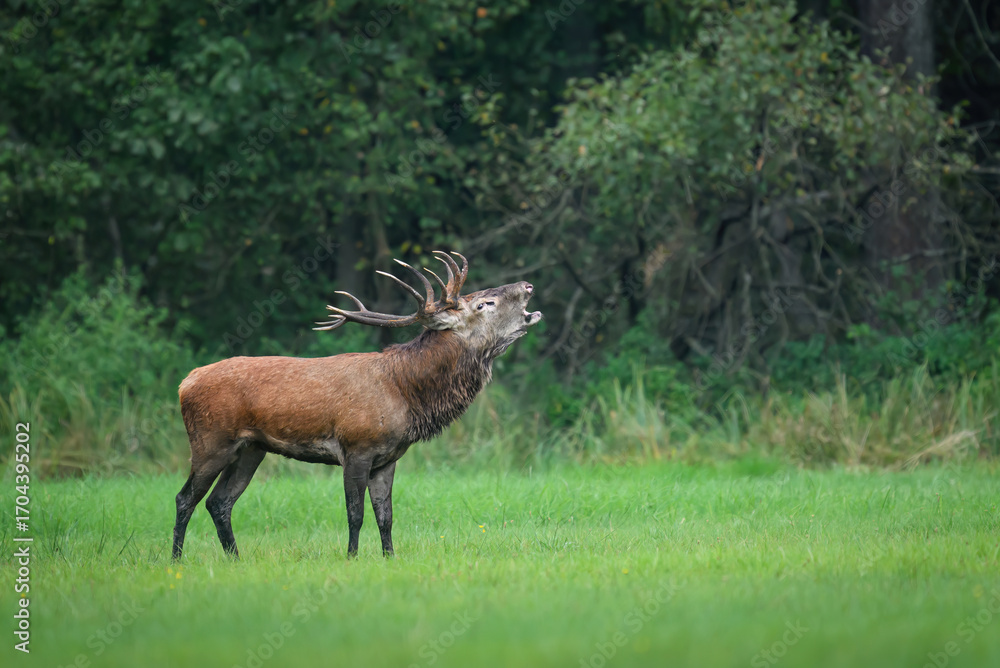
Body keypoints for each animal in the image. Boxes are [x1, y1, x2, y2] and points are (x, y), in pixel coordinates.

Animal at [171, 251, 542, 560]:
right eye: (484, 303)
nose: (528, 286)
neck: (406, 394)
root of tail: (184, 383)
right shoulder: (356, 447)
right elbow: (355, 514)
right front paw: (351, 557)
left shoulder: (387, 458)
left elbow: (386, 516)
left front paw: (389, 557)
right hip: (211, 442)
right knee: (185, 498)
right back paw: (177, 559)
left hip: (251, 449)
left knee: (219, 502)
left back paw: (235, 558)